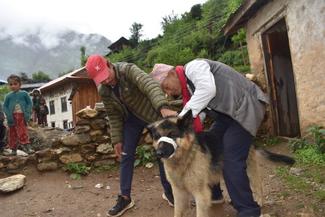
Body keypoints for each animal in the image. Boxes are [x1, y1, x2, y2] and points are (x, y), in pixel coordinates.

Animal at [147, 112, 294, 217]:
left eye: (172, 135)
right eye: (157, 137)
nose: (158, 153)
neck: (185, 157)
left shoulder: (200, 194)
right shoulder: (179, 193)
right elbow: (177, 212)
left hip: (247, 168)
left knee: (257, 183)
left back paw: (258, 201)